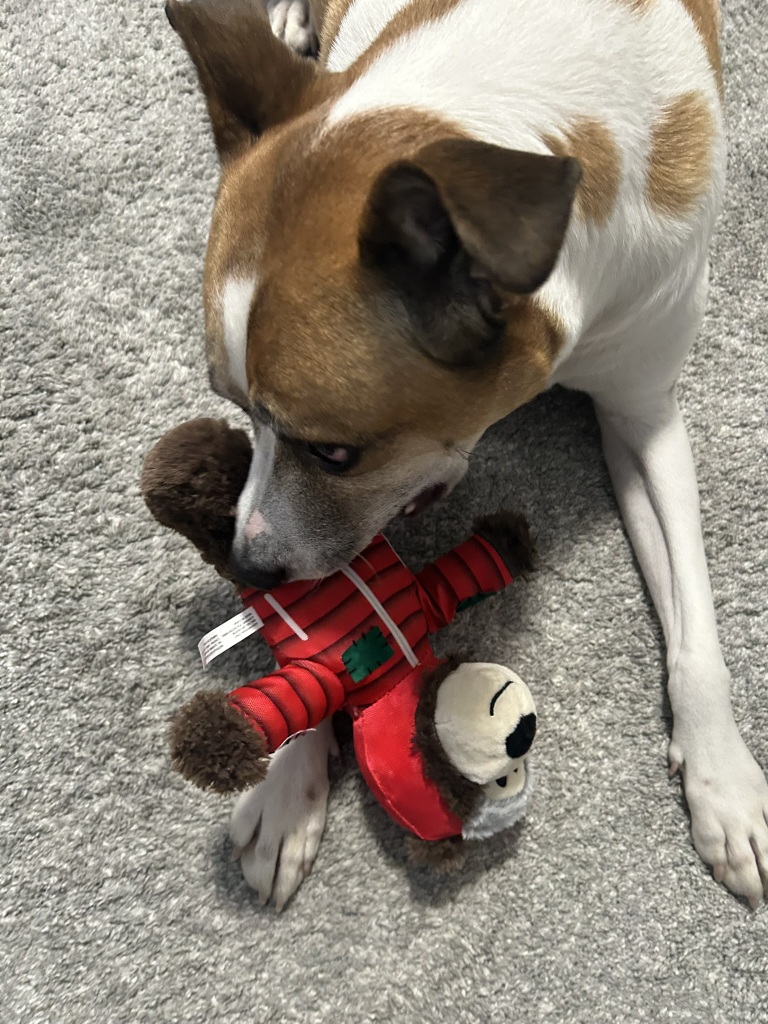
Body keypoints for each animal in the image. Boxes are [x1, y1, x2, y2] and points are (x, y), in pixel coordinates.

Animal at [163, 0, 768, 910]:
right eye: (236, 410)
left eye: (336, 450)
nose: (249, 568)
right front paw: (289, 782)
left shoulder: (644, 410)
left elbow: (695, 621)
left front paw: (724, 782)